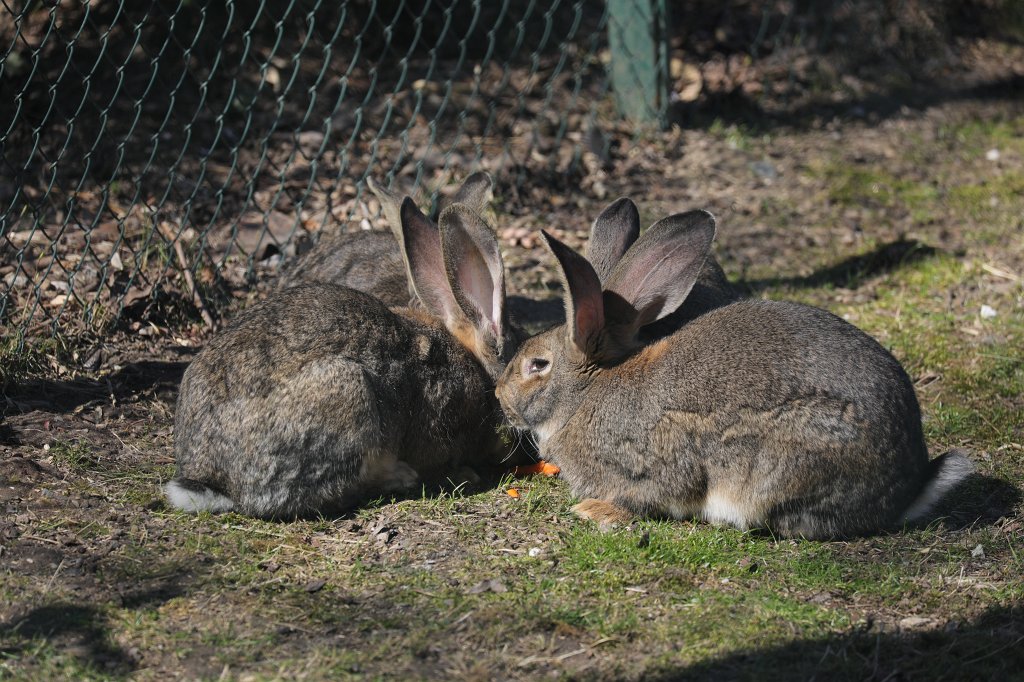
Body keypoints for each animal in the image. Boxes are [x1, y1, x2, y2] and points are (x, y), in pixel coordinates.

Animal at [496, 209, 974, 539]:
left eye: (538, 365)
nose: (499, 397)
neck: (585, 394)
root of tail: (905, 490)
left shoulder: (651, 461)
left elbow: (652, 494)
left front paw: (596, 511)